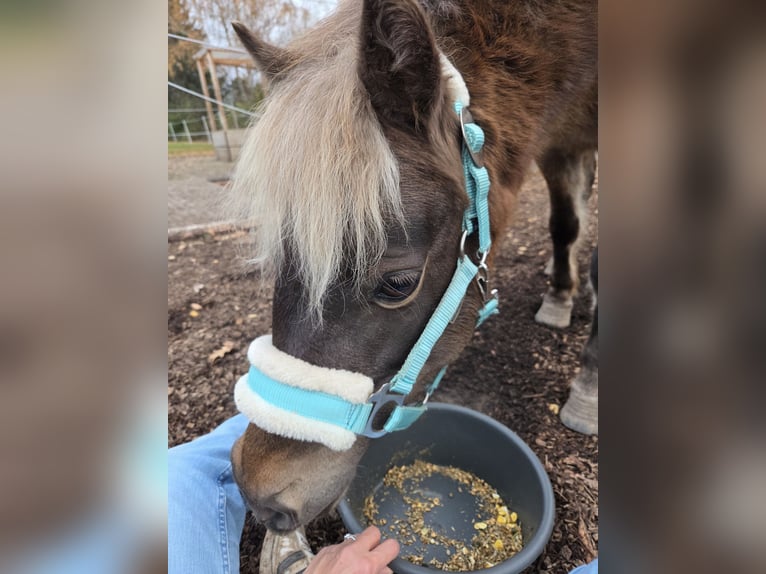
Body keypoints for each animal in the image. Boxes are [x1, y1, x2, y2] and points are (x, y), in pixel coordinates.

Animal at [227, 0, 597, 533]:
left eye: (398, 282)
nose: (259, 492)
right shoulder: (557, 141)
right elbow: (566, 222)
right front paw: (562, 294)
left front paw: (588, 389)